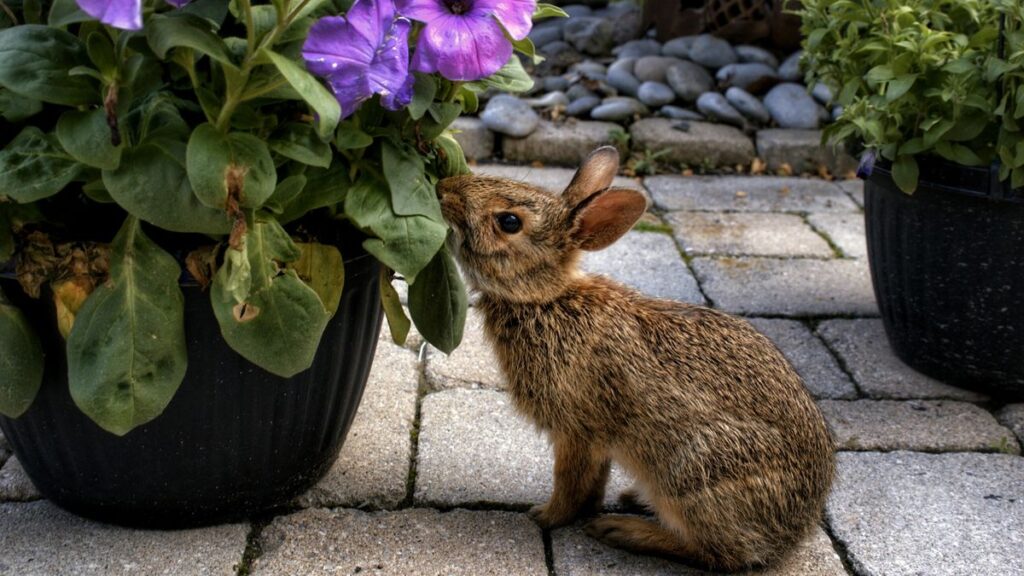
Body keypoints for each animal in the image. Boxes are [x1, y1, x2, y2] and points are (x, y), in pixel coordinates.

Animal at [436, 147, 835, 569]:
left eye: (509, 221)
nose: (444, 189)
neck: (545, 300)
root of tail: (795, 530)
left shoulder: (577, 431)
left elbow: (570, 481)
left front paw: (547, 516)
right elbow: (593, 481)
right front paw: (584, 510)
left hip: (695, 473)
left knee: (718, 552)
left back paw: (623, 530)